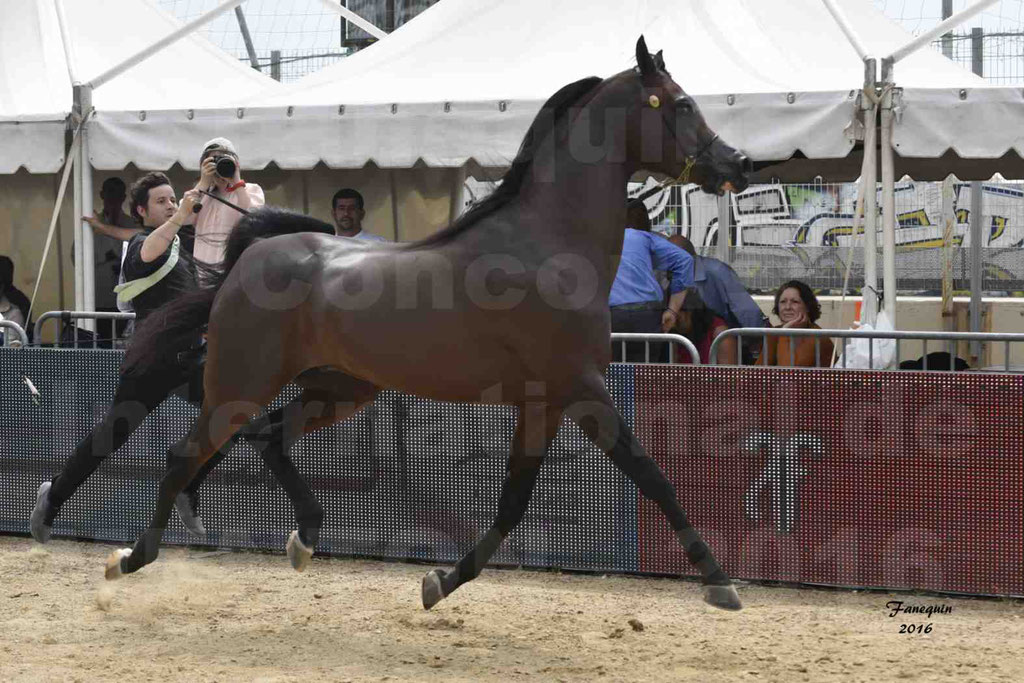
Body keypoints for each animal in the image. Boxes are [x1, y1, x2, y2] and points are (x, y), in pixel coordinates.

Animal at [110, 37, 753, 610]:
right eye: (680, 104)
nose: (738, 164)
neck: (546, 245)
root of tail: (249, 259)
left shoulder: (544, 402)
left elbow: (513, 503)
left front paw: (439, 583)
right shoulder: (581, 390)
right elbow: (652, 475)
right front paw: (720, 584)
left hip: (340, 388)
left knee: (268, 437)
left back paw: (304, 538)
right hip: (240, 383)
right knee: (185, 454)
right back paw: (131, 558)